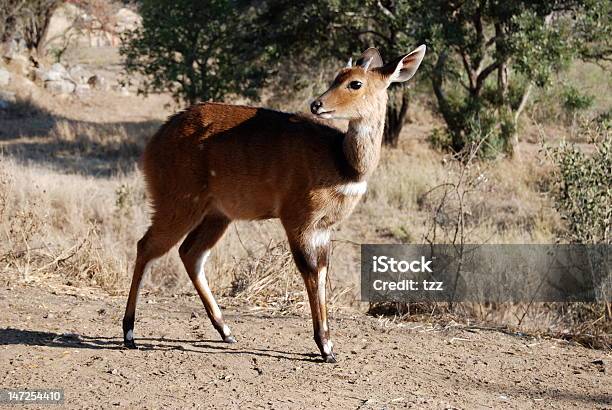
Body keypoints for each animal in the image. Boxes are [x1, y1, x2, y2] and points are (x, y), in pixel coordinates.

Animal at [120, 44, 426, 362]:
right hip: (178, 203)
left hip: (217, 215)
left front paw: (328, 345)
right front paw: (325, 347)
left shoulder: (323, 229)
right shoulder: (297, 221)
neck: (342, 162)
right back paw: (129, 333)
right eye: (337, 77)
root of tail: (154, 143)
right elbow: (310, 271)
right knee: (147, 246)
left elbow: (322, 271)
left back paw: (226, 331)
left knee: (190, 253)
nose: (316, 104)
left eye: (355, 83)